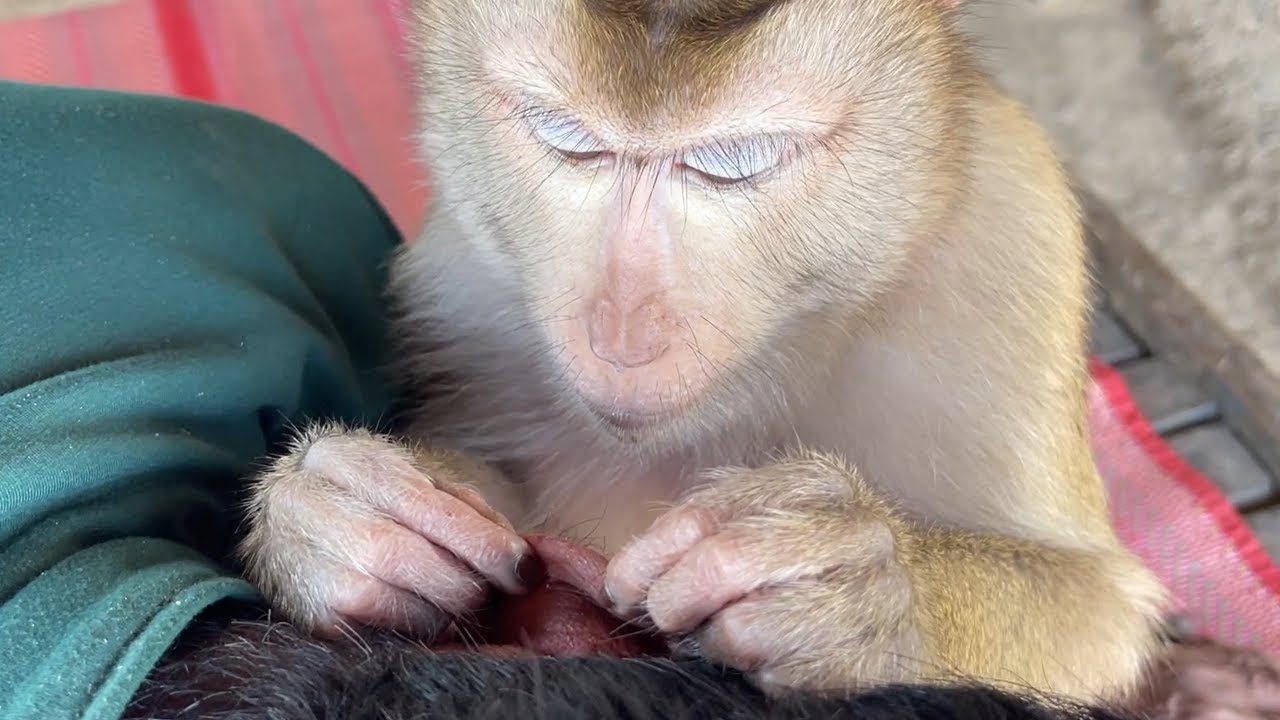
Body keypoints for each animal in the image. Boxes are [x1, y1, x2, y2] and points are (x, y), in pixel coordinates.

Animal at [236, 0, 1168, 702]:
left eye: (732, 161)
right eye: (565, 137)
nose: (621, 334)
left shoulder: (1015, 238)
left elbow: (1098, 606)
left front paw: (848, 579)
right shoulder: (458, 279)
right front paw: (347, 517)